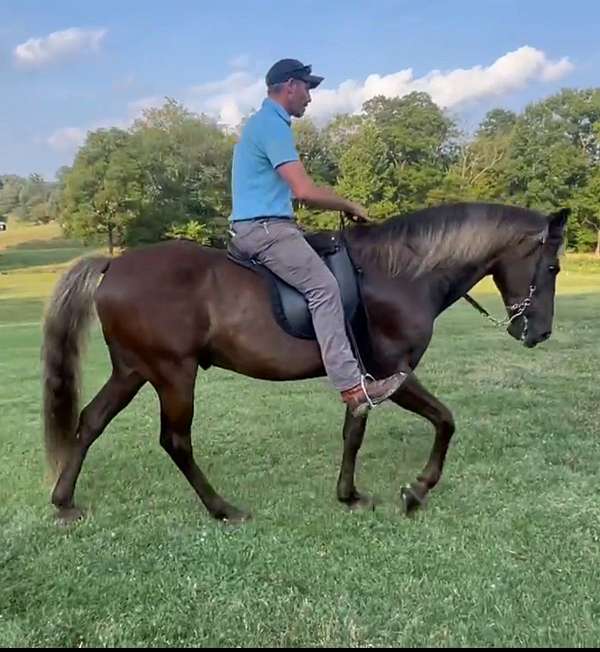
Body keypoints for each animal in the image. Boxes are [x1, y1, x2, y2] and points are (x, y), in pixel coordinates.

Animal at [41, 204, 568, 524]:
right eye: (554, 266)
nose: (539, 333)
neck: (400, 274)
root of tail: (115, 265)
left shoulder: (362, 376)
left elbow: (353, 431)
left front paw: (349, 494)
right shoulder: (392, 372)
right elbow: (445, 420)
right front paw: (417, 490)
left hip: (132, 370)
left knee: (89, 422)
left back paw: (64, 502)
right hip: (173, 374)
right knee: (175, 441)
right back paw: (222, 508)